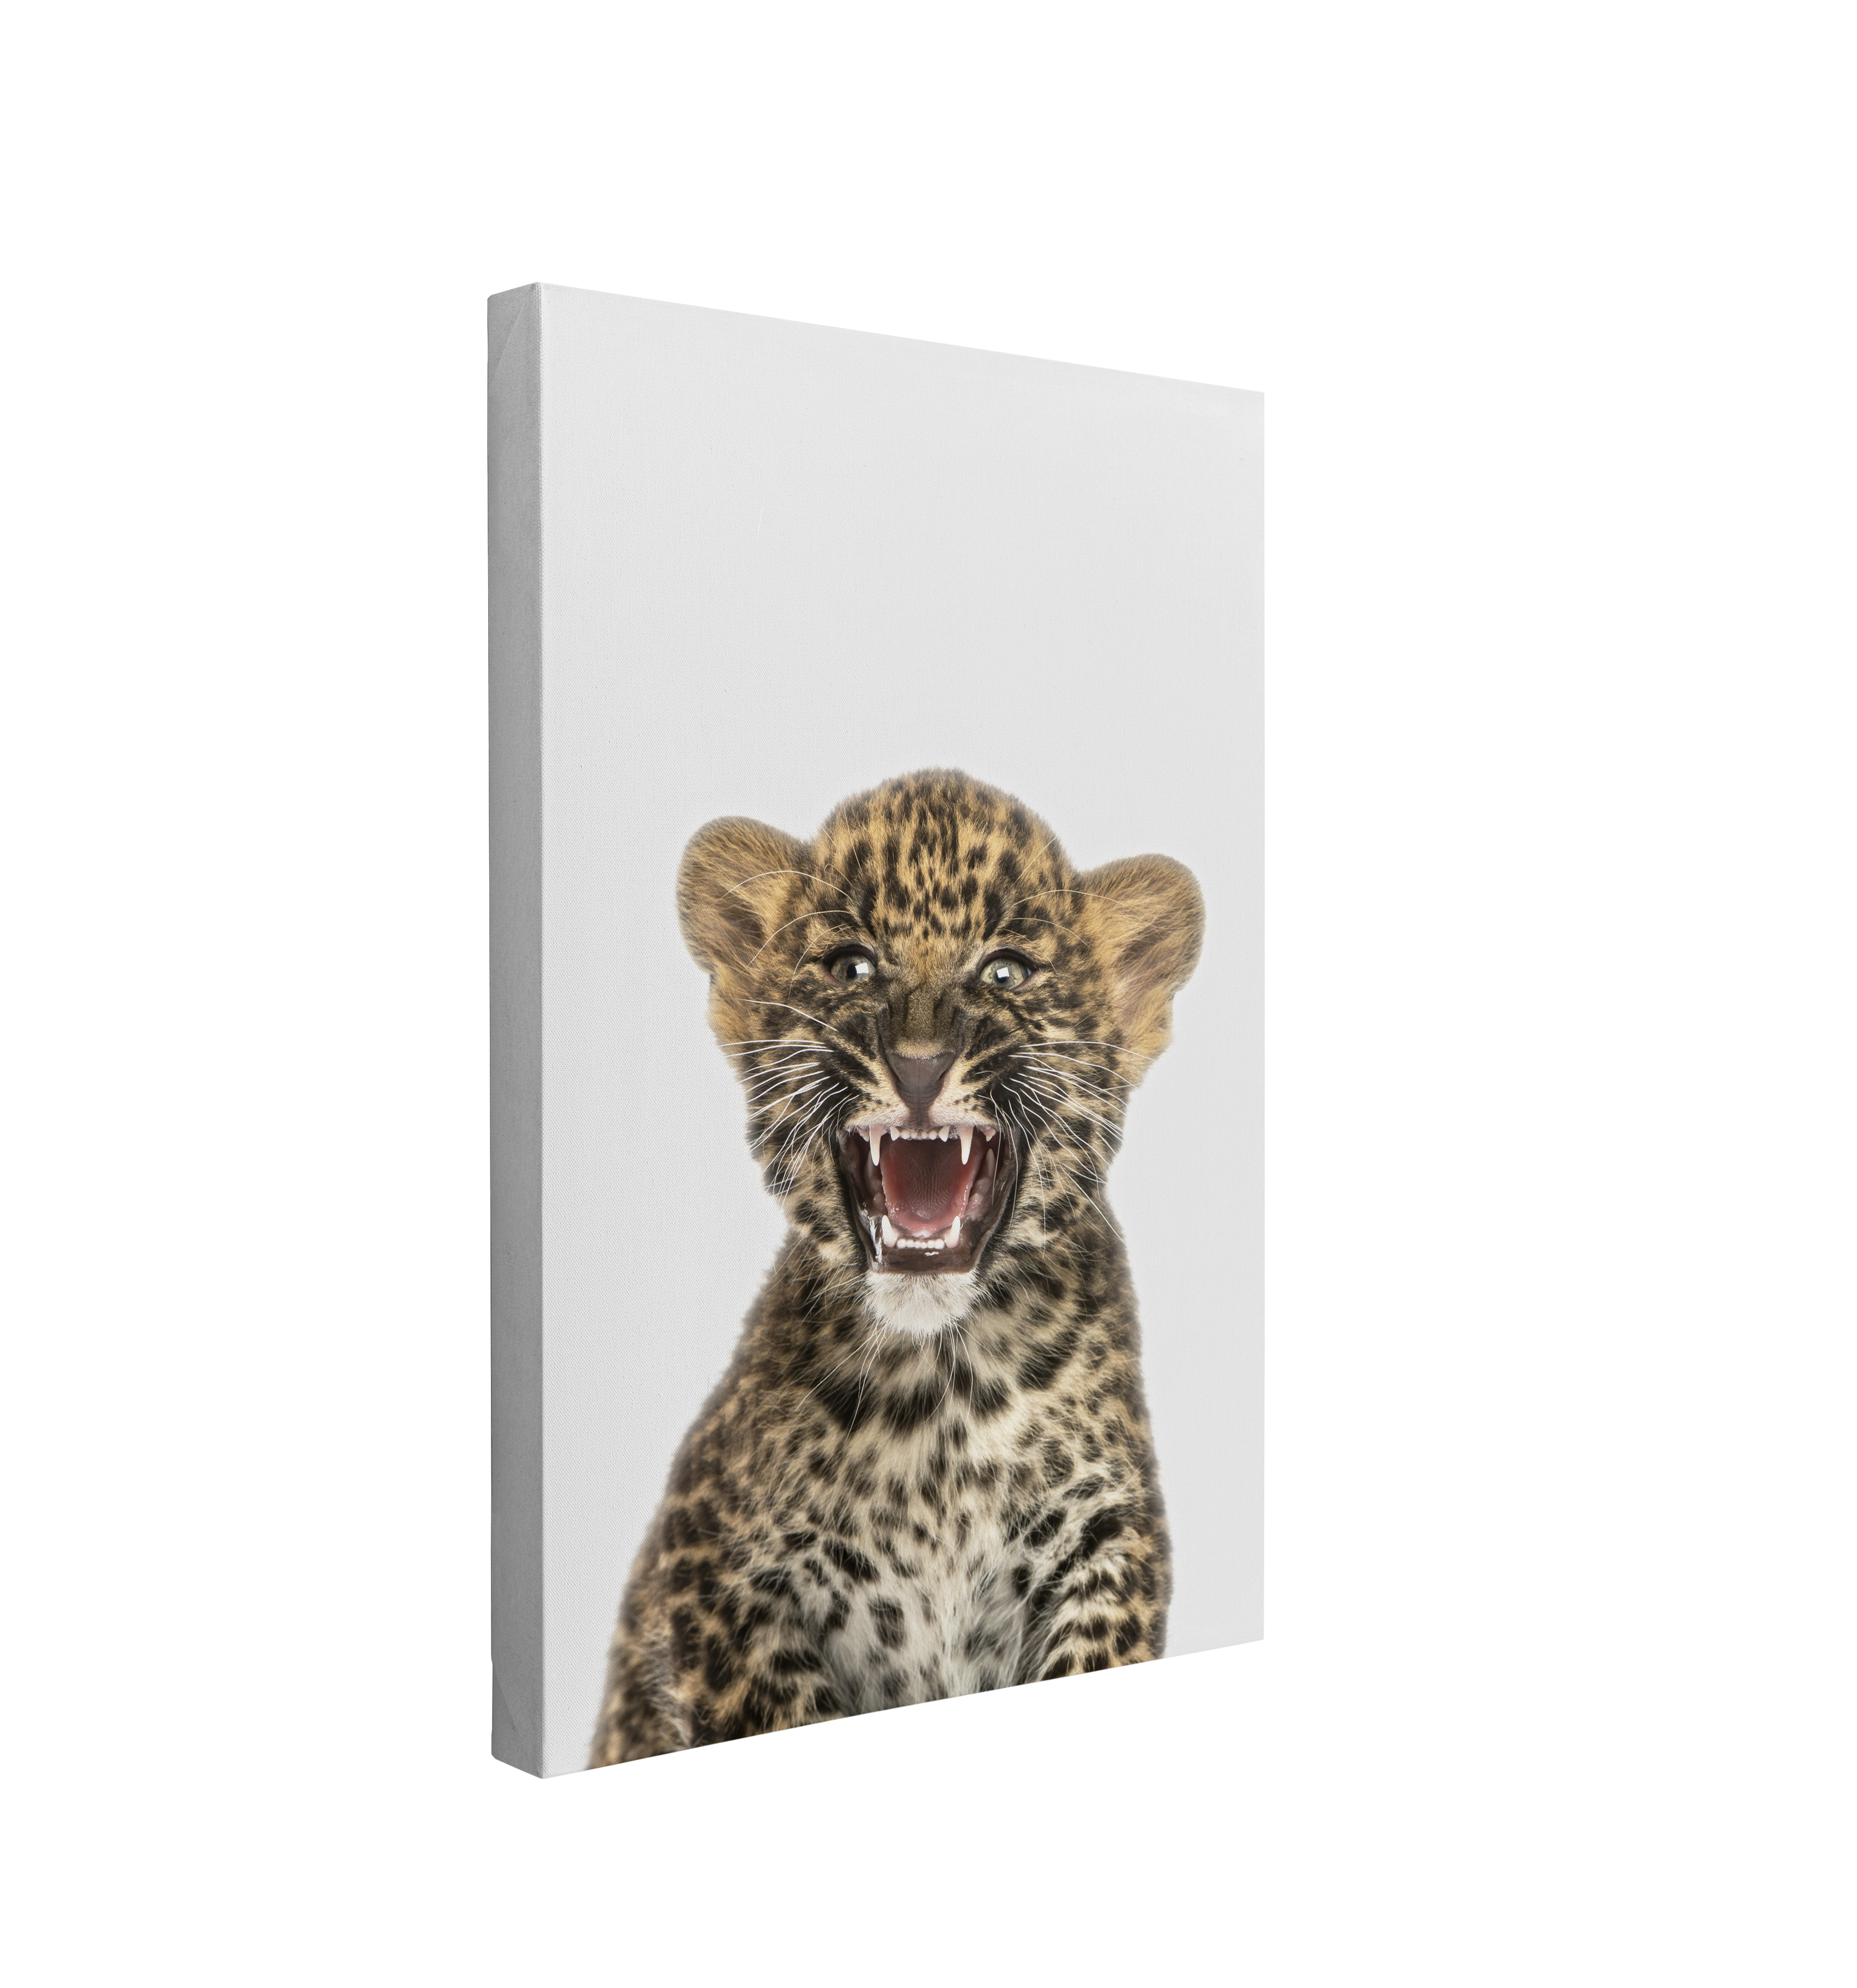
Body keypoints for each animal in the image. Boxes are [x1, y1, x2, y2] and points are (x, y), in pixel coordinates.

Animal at [587, 767, 1204, 1767]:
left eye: (1004, 971)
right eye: (851, 967)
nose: (919, 1065)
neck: (940, 1393)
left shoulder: (1107, 1538)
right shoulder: (713, 1580)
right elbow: (786, 1710)